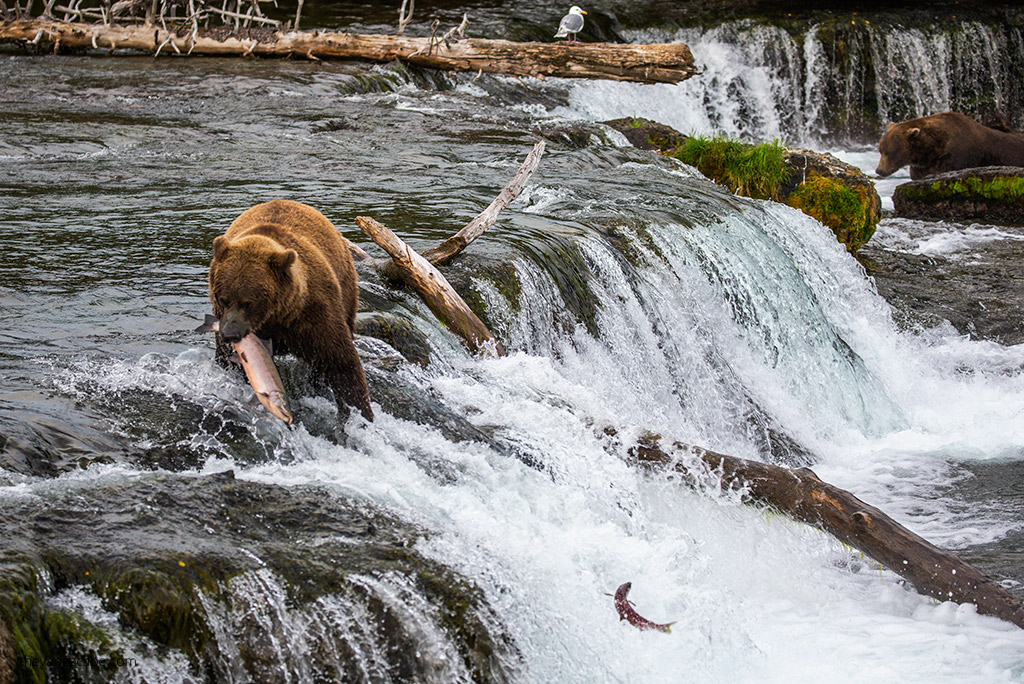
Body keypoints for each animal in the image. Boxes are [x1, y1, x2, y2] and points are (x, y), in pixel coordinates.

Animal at [207, 199, 373, 421]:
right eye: (222, 299)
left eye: (248, 302)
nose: (230, 334)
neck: (274, 317)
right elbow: (229, 362)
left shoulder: (312, 313)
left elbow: (341, 361)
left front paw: (360, 417)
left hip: (346, 286)